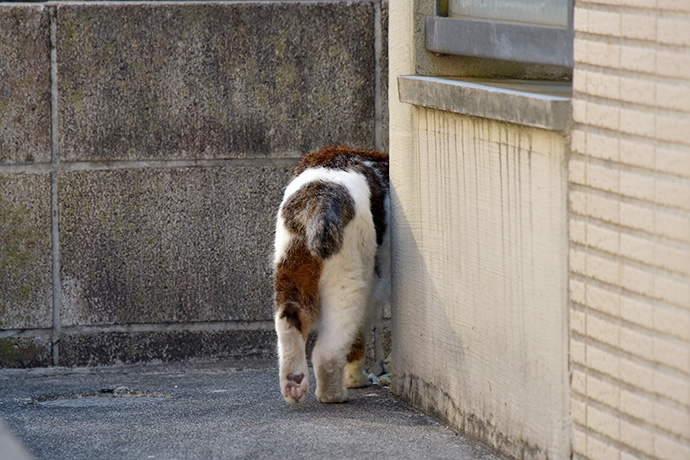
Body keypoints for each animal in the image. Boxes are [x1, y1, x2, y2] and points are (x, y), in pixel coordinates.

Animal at [272, 146, 390, 404]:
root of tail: (321, 196)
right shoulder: (372, 296)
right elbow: (358, 340)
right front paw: (356, 379)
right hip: (349, 280)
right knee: (329, 348)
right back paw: (334, 393)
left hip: (290, 264)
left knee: (289, 318)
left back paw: (294, 382)